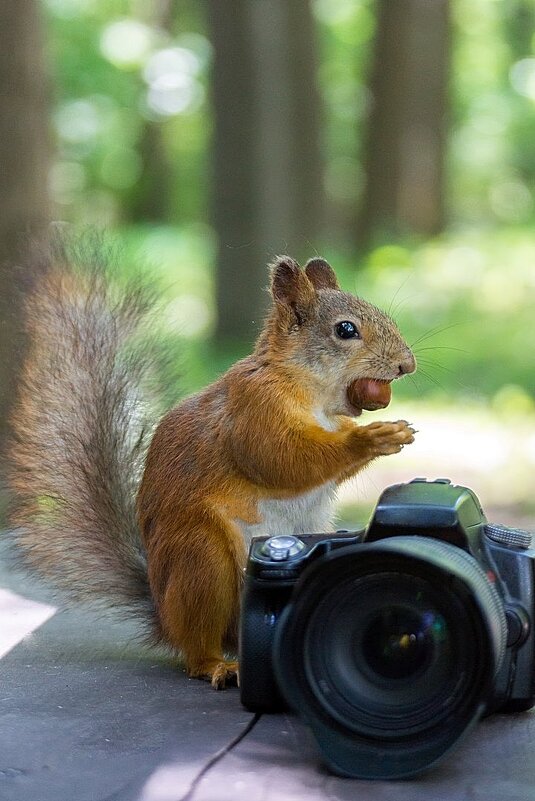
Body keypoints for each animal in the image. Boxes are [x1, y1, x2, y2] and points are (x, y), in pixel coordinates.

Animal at [6, 236, 416, 688]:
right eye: (346, 330)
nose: (407, 364)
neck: (314, 395)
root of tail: (164, 619)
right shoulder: (254, 411)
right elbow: (282, 459)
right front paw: (373, 436)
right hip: (202, 561)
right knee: (197, 644)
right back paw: (217, 666)